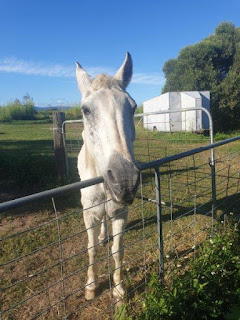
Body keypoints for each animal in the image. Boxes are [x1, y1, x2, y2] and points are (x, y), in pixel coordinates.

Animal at [76, 53, 140, 308]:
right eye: (86, 110)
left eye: (133, 107)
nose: (125, 180)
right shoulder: (89, 214)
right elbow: (91, 249)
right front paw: (91, 287)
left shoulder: (120, 212)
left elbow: (117, 250)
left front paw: (119, 290)